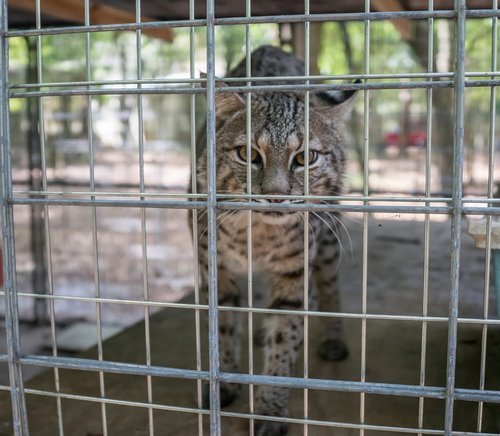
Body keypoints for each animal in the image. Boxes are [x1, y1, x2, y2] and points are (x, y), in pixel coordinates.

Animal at [194, 46, 356, 434]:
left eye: (306, 158)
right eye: (248, 155)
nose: (276, 196)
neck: (257, 231)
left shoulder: (295, 270)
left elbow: (287, 333)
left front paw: (270, 408)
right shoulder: (212, 264)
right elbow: (221, 327)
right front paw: (222, 384)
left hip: (328, 234)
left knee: (328, 284)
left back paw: (333, 338)